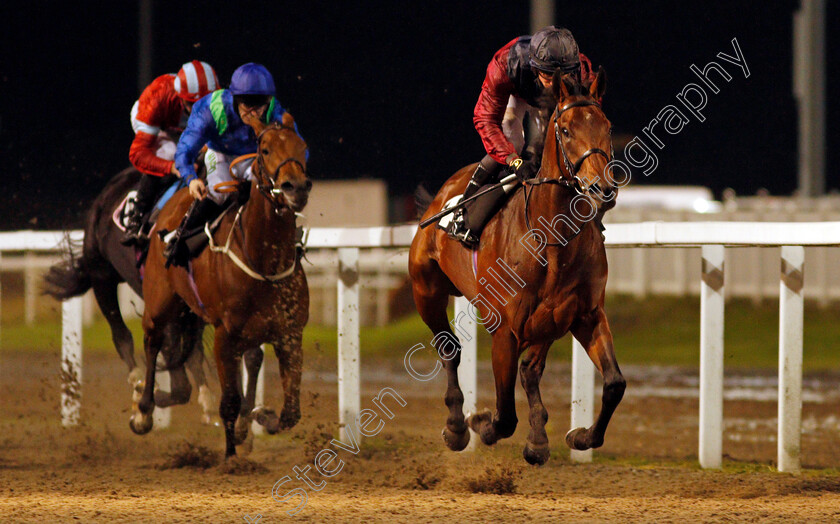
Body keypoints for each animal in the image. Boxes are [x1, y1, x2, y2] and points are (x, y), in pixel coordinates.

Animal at [136, 112, 310, 456]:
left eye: (303, 147)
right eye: (265, 150)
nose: (295, 188)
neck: (263, 261)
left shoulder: (289, 334)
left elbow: (291, 412)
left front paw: (259, 418)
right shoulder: (224, 336)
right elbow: (228, 402)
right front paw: (231, 457)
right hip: (160, 301)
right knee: (152, 340)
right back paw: (144, 412)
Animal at [406, 67, 624, 464]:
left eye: (607, 125)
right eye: (565, 129)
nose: (603, 189)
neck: (550, 240)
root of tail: (440, 199)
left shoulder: (584, 315)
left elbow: (615, 383)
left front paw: (579, 437)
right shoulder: (505, 332)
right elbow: (505, 415)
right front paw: (480, 424)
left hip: (547, 323)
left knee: (530, 369)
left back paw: (536, 437)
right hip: (425, 290)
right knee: (450, 350)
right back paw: (457, 427)